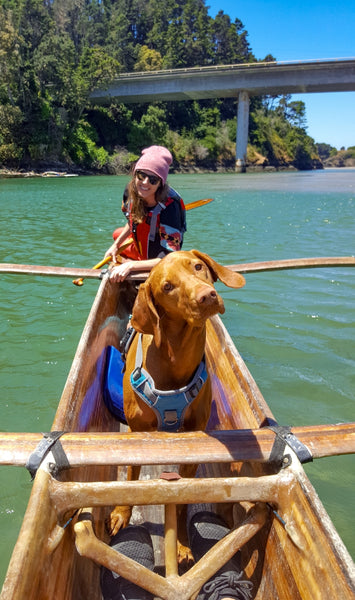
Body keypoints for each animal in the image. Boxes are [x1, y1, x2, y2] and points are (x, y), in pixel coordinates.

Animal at [108, 250, 246, 564]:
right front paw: (121, 514)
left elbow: (182, 500)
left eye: (197, 266)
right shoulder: (135, 434)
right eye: (167, 287)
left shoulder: (195, 440)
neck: (176, 360)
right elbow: (130, 481)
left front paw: (182, 543)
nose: (206, 296)